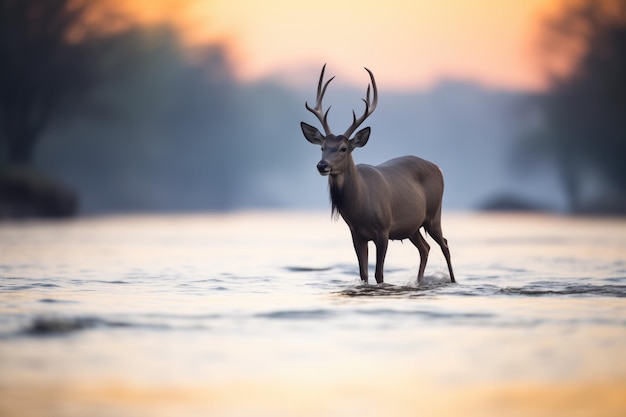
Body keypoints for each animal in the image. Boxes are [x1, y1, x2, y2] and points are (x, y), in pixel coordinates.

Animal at [298, 65, 454, 284]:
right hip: (412, 226)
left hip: (434, 214)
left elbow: (379, 274)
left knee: (445, 244)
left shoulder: (383, 230)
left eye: (344, 148)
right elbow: (363, 274)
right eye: (322, 147)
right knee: (425, 248)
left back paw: (453, 281)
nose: (322, 165)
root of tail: (439, 168)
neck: (360, 206)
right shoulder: (356, 234)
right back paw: (419, 281)